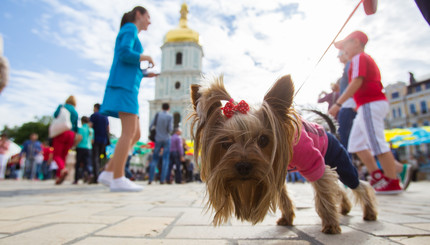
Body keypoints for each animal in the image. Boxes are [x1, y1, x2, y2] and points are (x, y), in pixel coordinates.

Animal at [191, 74, 376, 234]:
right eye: (225, 143)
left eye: (263, 140)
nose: (243, 166)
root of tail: (331, 132)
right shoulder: (274, 169)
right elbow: (283, 195)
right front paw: (287, 218)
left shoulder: (310, 161)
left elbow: (323, 192)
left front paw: (330, 224)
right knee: (337, 186)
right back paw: (345, 208)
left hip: (339, 158)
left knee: (357, 184)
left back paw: (369, 212)